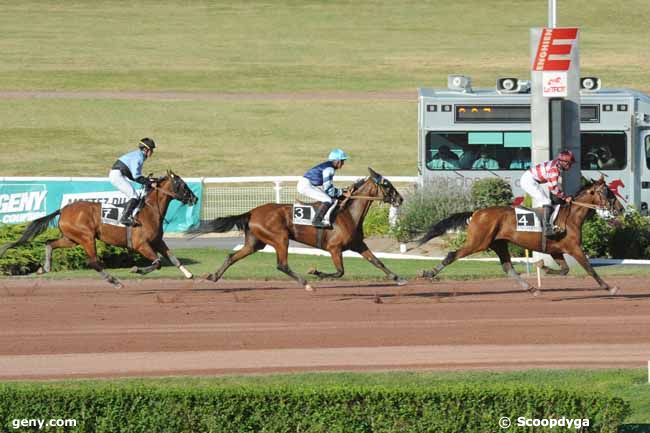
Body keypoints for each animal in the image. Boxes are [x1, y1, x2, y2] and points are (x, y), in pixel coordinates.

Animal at [0, 170, 197, 286]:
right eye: (182, 184)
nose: (194, 198)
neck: (149, 210)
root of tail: (63, 209)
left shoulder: (157, 241)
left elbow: (173, 259)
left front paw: (189, 275)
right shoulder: (141, 244)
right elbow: (157, 263)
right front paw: (136, 269)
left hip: (71, 239)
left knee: (49, 243)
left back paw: (45, 268)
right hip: (86, 237)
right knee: (93, 261)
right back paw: (114, 280)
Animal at [185, 166, 402, 290]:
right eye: (387, 184)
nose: (400, 199)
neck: (348, 213)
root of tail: (251, 212)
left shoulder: (357, 244)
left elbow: (377, 261)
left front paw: (398, 278)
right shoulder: (335, 248)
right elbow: (340, 272)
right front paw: (315, 272)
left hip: (255, 243)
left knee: (233, 256)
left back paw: (213, 276)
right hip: (280, 238)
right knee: (282, 265)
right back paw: (306, 284)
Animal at [416, 177, 624, 296]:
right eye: (608, 192)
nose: (621, 208)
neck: (571, 217)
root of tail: (476, 213)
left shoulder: (556, 250)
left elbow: (564, 270)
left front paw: (542, 266)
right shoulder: (574, 248)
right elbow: (590, 269)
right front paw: (610, 288)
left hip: (499, 244)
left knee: (508, 267)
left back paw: (531, 288)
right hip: (478, 242)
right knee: (452, 254)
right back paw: (428, 273)